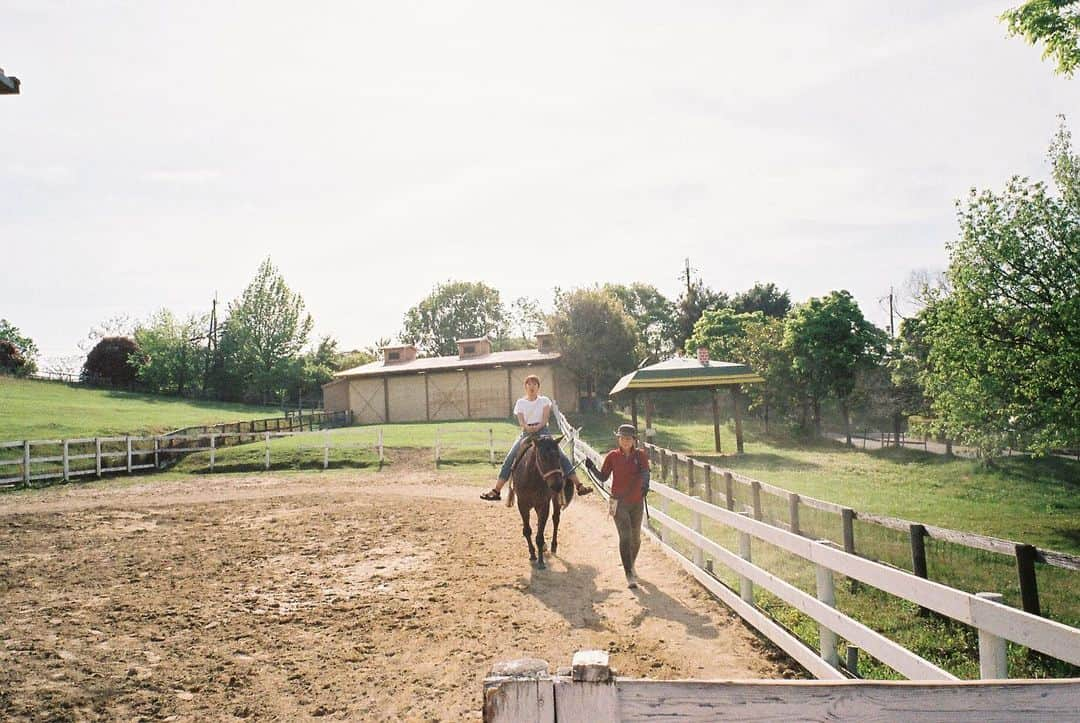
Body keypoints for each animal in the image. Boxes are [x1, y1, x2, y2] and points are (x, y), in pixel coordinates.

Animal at [505, 434, 574, 570]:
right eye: (542, 457)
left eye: (558, 456)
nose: (557, 485)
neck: (531, 478)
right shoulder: (522, 505)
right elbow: (527, 531)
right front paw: (532, 554)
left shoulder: (543, 505)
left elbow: (540, 536)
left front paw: (541, 561)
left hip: (554, 500)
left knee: (556, 519)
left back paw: (553, 546)